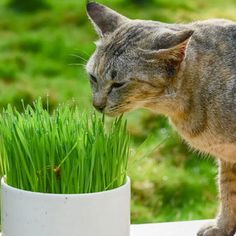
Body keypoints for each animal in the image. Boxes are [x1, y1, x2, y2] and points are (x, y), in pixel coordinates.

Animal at [85, 2, 236, 236]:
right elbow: (228, 191)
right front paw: (223, 226)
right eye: (93, 77)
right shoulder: (228, 158)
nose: (97, 105)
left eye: (118, 84)